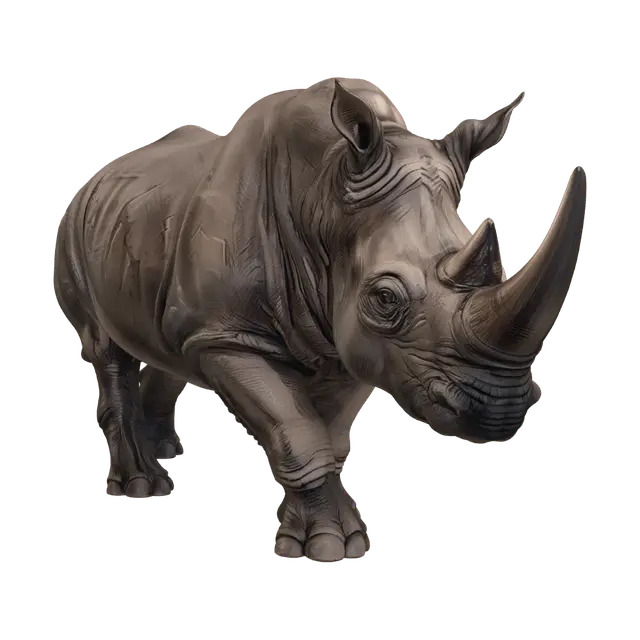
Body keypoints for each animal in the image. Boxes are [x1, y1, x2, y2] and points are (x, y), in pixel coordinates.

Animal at [52, 76, 589, 563]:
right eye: (385, 299)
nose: (498, 411)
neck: (326, 195)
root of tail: (98, 175)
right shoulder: (232, 335)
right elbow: (294, 427)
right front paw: (330, 545)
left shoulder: (354, 344)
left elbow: (323, 433)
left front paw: (328, 538)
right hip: (74, 230)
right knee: (106, 350)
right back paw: (141, 484)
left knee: (166, 347)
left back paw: (164, 448)